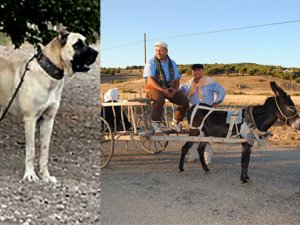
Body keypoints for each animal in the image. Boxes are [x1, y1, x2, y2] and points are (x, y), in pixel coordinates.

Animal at [0, 31, 98, 183]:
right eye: (77, 45)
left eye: (87, 42)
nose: (96, 53)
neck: (49, 73)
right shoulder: (30, 119)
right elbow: (31, 150)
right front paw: (30, 174)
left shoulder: (48, 120)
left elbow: (45, 151)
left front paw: (46, 176)